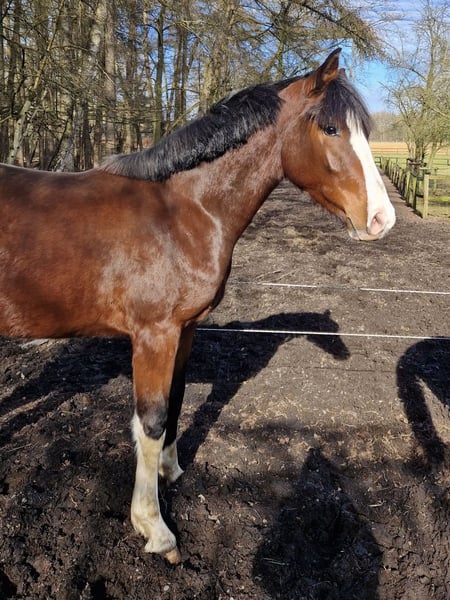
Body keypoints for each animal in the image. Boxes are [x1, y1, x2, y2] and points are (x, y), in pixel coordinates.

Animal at [0, 49, 395, 563]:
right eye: (330, 129)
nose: (383, 219)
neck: (183, 211)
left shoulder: (184, 330)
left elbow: (178, 398)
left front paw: (171, 473)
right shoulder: (154, 335)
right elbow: (150, 420)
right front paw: (154, 527)